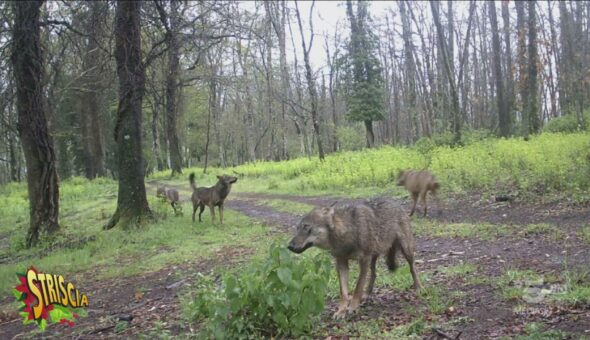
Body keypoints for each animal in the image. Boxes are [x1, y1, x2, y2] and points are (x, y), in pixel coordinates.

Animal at [290, 197, 424, 318]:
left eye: (306, 226)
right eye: (297, 228)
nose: (289, 246)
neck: (348, 231)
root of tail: (394, 202)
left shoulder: (364, 260)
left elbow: (358, 286)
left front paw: (353, 307)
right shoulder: (341, 262)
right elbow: (343, 292)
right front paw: (341, 311)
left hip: (405, 250)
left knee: (412, 268)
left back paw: (419, 287)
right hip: (373, 257)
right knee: (374, 274)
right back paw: (367, 294)